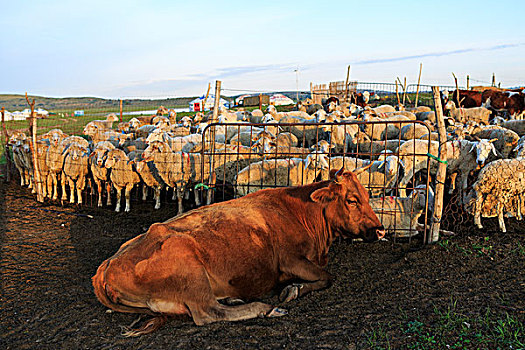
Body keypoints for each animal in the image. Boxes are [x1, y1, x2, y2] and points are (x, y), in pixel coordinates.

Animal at [92, 169, 382, 336]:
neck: (301, 212)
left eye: (368, 196)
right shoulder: (290, 260)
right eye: (352, 200)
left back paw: (233, 299)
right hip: (189, 266)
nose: (379, 230)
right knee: (208, 312)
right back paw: (266, 308)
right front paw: (293, 290)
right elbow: (327, 276)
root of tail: (105, 268)